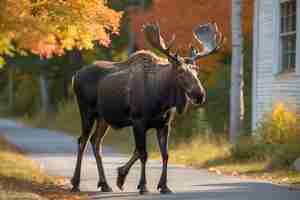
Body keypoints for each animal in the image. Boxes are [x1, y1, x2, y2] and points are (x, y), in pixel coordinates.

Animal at [70, 21, 223, 194]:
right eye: (180, 71)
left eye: (197, 71)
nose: (200, 95)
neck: (162, 100)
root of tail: (75, 76)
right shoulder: (138, 121)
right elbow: (143, 153)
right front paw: (143, 185)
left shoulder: (164, 125)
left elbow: (164, 154)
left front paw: (161, 185)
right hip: (87, 111)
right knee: (82, 140)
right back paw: (75, 183)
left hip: (103, 118)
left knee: (96, 142)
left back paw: (104, 184)